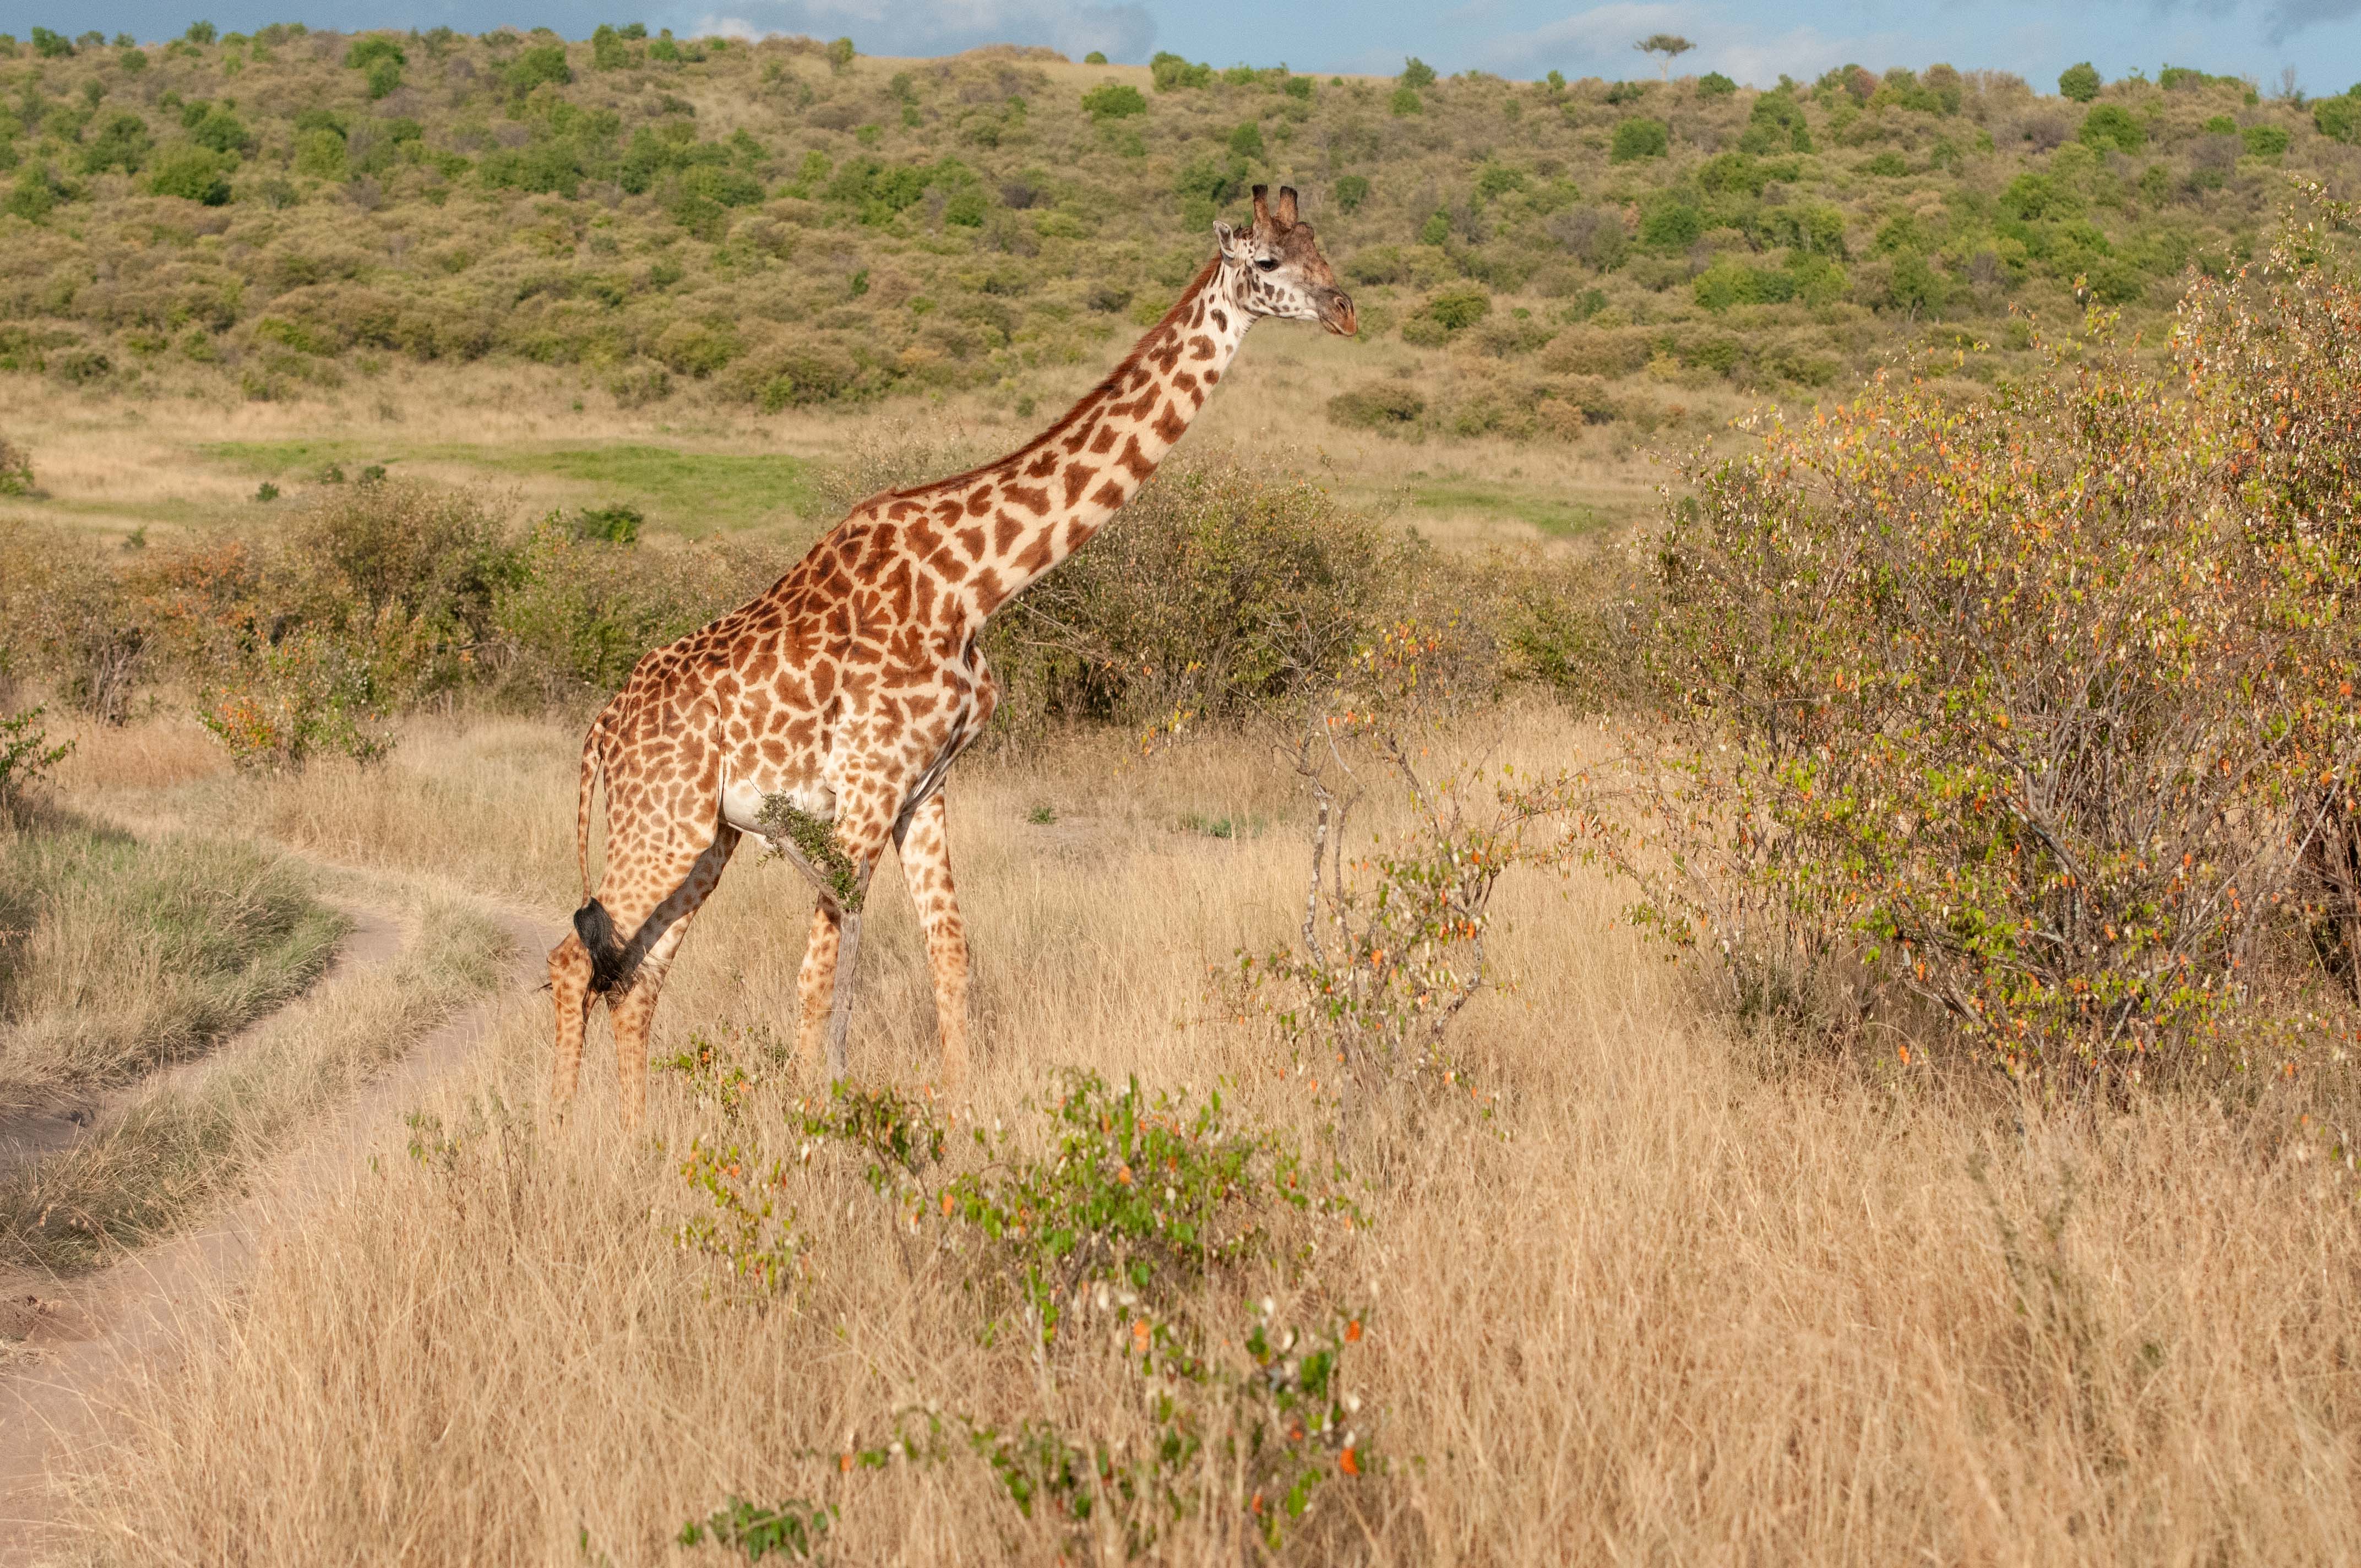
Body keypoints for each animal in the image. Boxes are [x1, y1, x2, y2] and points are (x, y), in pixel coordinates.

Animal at [550, 184, 1359, 1129]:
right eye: (1267, 262)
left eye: (1321, 246)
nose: (1345, 311)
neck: (976, 580)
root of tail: (602, 728)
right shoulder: (867, 788)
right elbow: (820, 980)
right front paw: (811, 1129)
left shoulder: (925, 788)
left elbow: (949, 952)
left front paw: (960, 1116)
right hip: (664, 820)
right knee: (579, 961)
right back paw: (560, 1141)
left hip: (705, 835)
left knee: (637, 976)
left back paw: (634, 1141)